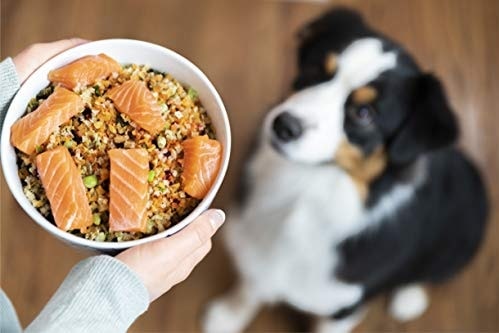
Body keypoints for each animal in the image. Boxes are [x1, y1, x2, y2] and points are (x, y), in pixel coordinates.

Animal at [202, 8, 488, 332]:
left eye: (364, 114)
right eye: (314, 70)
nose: (283, 125)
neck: (303, 192)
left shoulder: (345, 304)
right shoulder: (260, 258)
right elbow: (250, 288)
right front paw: (228, 316)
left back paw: (409, 297)